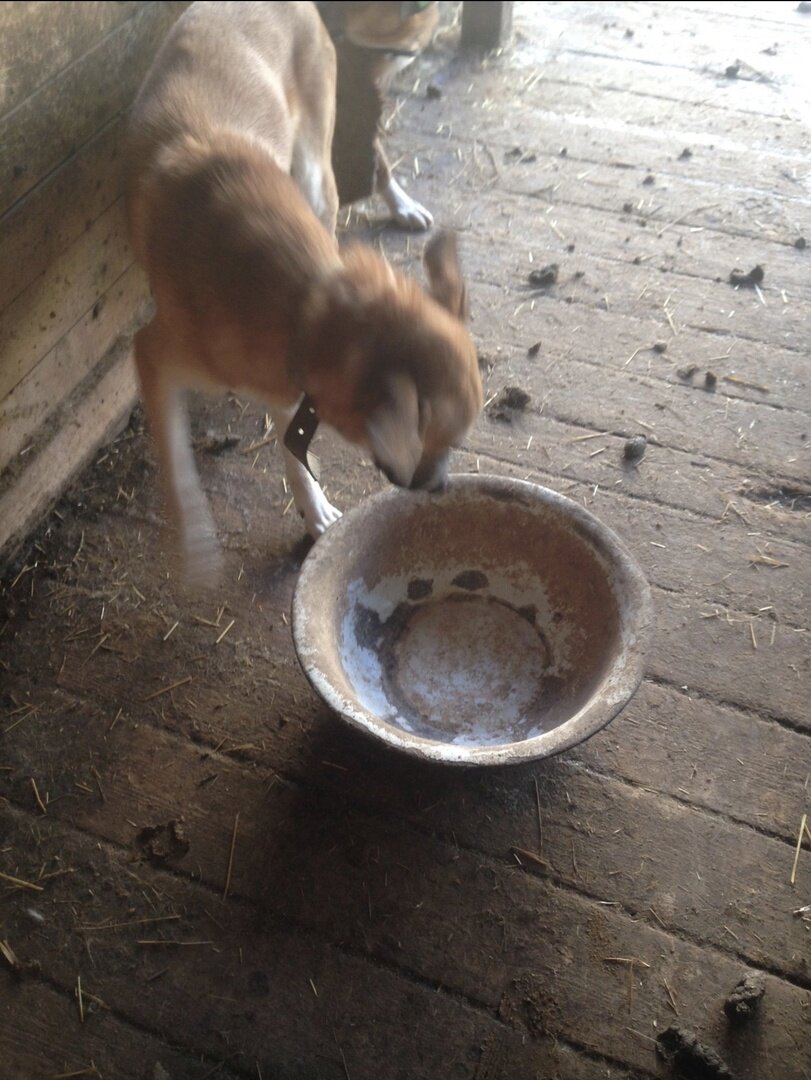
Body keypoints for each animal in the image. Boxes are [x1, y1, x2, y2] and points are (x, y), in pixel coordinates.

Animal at [125, 2, 481, 583]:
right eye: (440, 441)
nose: (440, 488)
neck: (310, 305)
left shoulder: (289, 387)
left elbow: (294, 450)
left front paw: (313, 511)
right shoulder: (154, 353)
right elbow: (177, 464)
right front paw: (195, 545)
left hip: (316, 169)